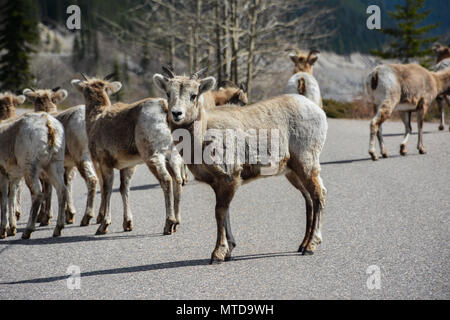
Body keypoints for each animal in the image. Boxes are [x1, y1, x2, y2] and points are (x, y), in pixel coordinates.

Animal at [0, 111, 67, 239]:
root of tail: (47, 123)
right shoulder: (14, 177)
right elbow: (11, 198)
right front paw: (12, 229)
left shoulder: (3, 174)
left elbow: (4, 200)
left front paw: (3, 231)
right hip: (54, 164)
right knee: (62, 190)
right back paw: (58, 229)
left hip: (30, 168)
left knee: (37, 194)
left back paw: (27, 231)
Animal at [22, 87, 98, 226]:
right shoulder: (67, 167)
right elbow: (67, 185)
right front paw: (69, 215)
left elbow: (48, 190)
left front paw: (44, 218)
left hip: (82, 158)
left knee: (92, 180)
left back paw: (87, 217)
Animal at [71, 74, 184, 235]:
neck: (94, 121)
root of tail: (163, 108)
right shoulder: (127, 166)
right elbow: (124, 189)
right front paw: (127, 224)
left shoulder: (105, 162)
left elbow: (107, 189)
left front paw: (103, 225)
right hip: (172, 155)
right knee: (177, 180)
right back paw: (176, 224)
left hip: (153, 155)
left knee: (166, 180)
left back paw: (169, 224)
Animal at [154, 68, 326, 264]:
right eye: (168, 93)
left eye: (194, 95)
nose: (177, 114)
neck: (202, 135)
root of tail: (319, 112)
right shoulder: (218, 182)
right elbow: (225, 212)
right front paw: (229, 251)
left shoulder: (229, 177)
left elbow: (220, 212)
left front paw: (218, 254)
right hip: (293, 172)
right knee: (309, 198)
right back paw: (302, 245)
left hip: (307, 163)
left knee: (318, 194)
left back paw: (310, 246)